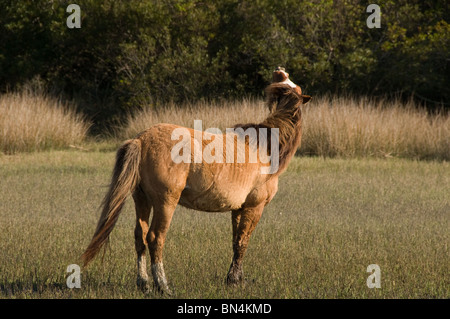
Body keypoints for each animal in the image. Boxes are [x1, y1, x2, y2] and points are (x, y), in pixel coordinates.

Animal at [81, 68, 310, 296]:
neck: (262, 146)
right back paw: (163, 286)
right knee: (155, 238)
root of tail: (141, 140)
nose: (280, 70)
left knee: (140, 236)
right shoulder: (255, 206)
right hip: (166, 202)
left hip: (142, 200)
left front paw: (236, 280)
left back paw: (144, 283)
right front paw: (234, 280)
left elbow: (236, 241)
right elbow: (243, 242)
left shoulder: (239, 208)